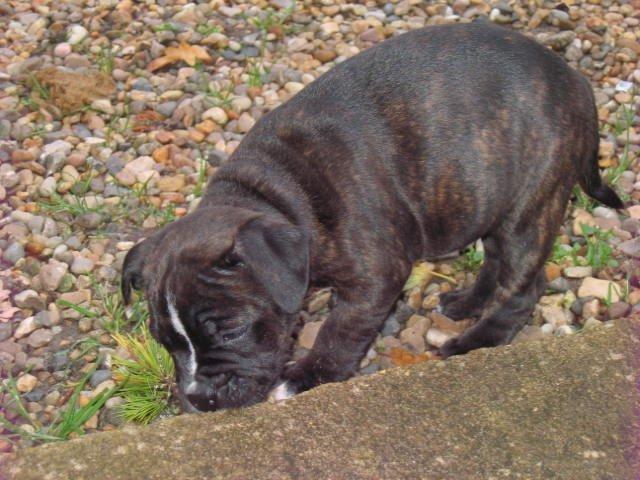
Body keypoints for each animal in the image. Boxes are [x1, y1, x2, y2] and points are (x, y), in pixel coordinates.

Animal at [122, 22, 624, 410]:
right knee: (497, 261)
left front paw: (307, 376)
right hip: (493, 201)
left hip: (530, 208)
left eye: (232, 330)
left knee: (524, 284)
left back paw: (475, 341)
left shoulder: (375, 278)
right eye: (163, 341)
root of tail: (577, 81)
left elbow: (341, 331)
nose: (198, 397)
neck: (275, 195)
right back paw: (465, 303)